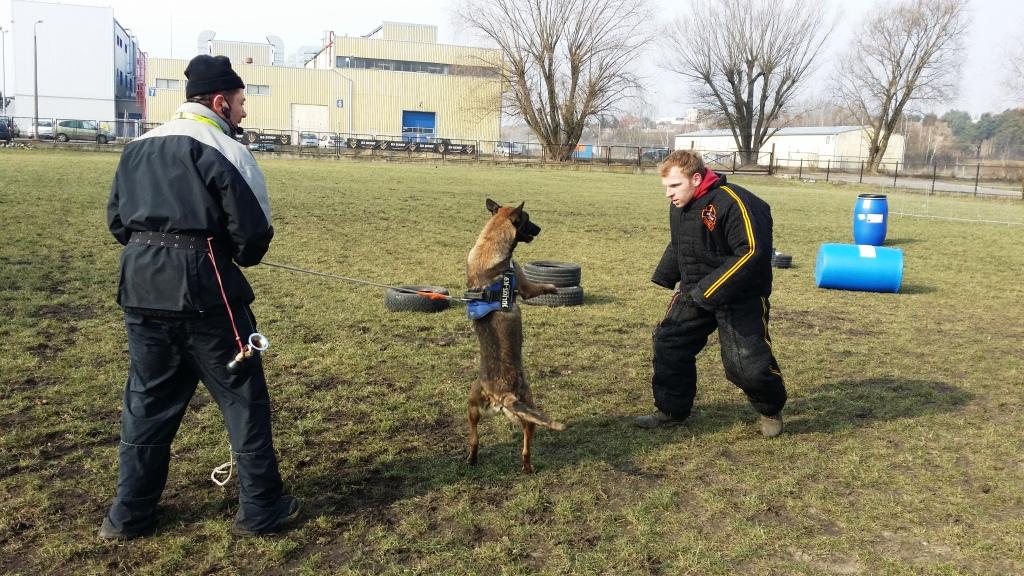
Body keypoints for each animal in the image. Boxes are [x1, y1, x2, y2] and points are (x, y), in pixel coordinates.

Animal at [466, 196, 569, 471]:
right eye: (528, 219)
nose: (540, 229)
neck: (490, 241)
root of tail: (502, 395)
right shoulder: (525, 286)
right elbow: (540, 287)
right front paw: (553, 288)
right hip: (528, 408)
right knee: (525, 446)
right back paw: (528, 468)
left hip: (471, 406)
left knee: (474, 438)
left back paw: (472, 458)